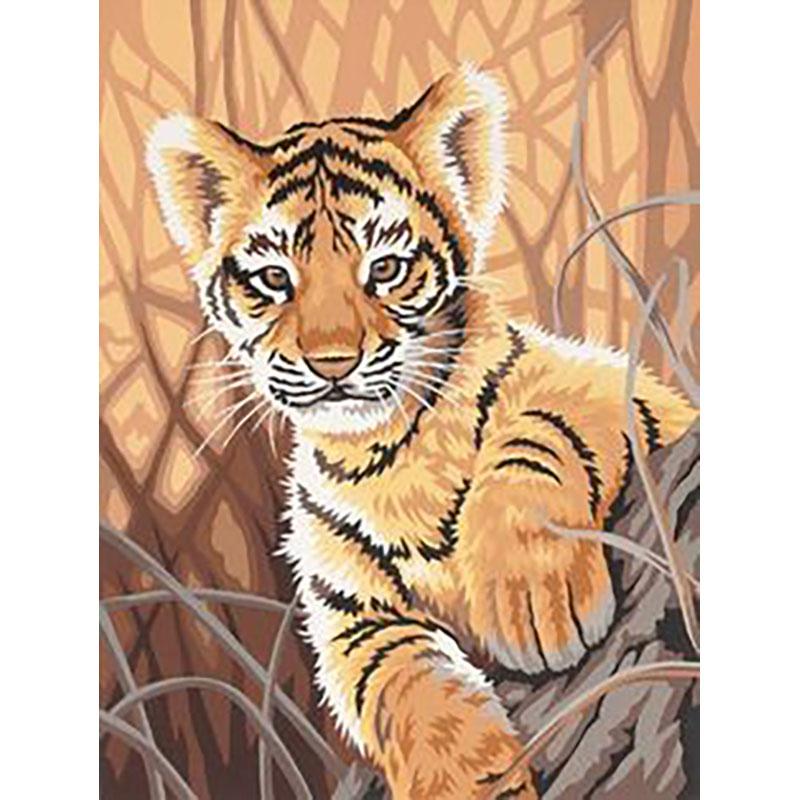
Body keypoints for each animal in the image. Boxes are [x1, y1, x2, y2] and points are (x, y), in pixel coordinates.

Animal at [146, 64, 696, 800]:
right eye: (274, 279)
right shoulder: (348, 606)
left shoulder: (616, 384)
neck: (384, 456)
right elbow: (398, 682)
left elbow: (538, 432)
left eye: (384, 268)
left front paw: (527, 595)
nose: (332, 363)